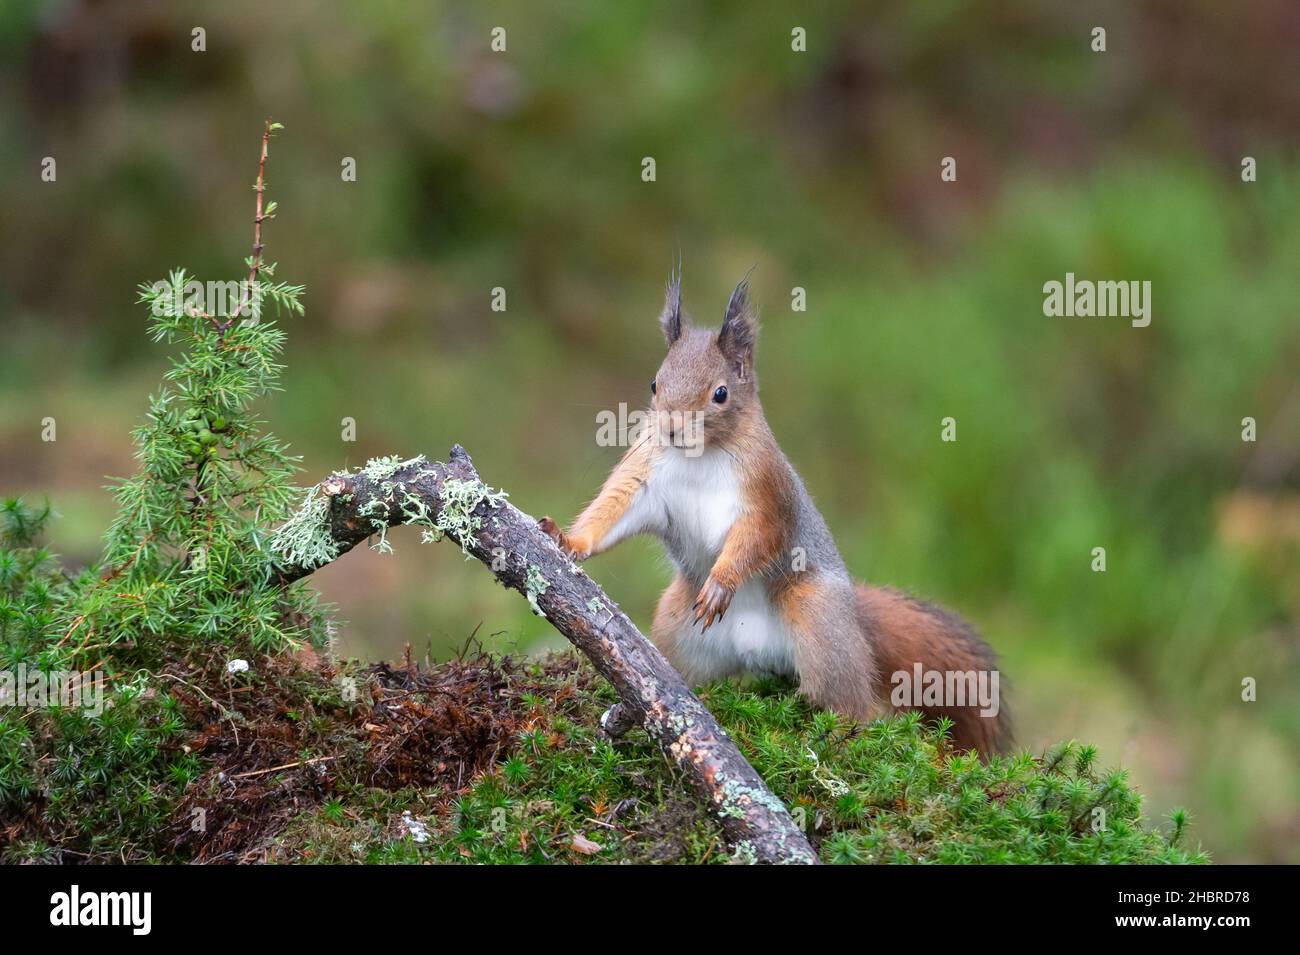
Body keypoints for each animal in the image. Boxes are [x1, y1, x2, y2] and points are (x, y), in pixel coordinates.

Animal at [538, 272, 1003, 758]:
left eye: (720, 393)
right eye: (654, 383)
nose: (671, 428)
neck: (701, 455)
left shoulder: (767, 496)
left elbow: (757, 538)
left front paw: (721, 582)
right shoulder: (644, 479)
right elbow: (612, 511)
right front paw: (567, 540)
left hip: (818, 623)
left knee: (852, 701)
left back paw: (838, 731)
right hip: (677, 629)